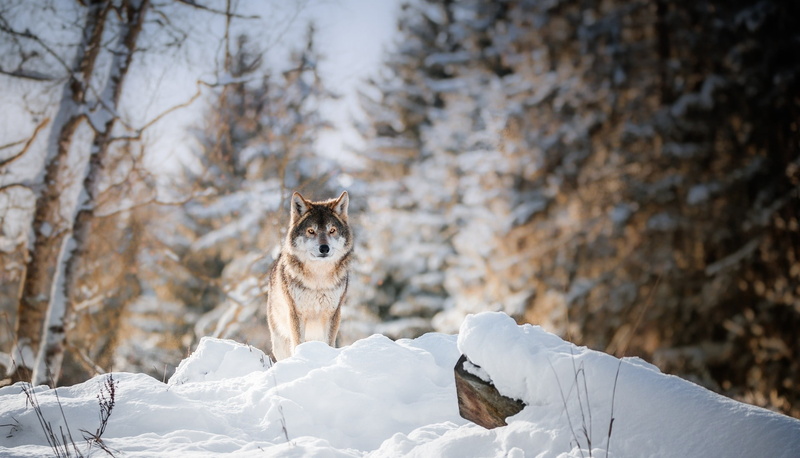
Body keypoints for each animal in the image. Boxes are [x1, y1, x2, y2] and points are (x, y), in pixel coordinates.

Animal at [267, 191, 353, 361]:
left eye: (332, 230)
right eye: (311, 231)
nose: (324, 248)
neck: (318, 279)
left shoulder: (332, 314)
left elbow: (329, 343)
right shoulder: (296, 314)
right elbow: (298, 343)